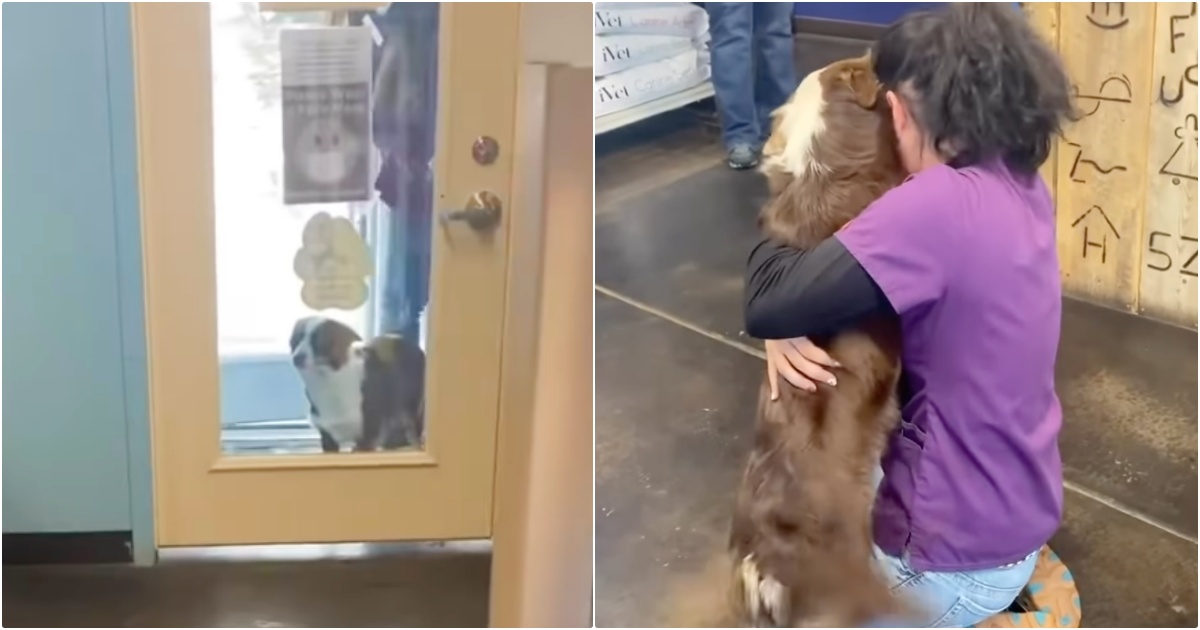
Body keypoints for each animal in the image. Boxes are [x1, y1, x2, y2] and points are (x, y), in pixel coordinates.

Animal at [289, 316, 425, 453]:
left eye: (318, 341)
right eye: (297, 339)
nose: (297, 358)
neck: (328, 380)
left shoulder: (368, 436)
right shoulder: (328, 438)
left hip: (413, 415)